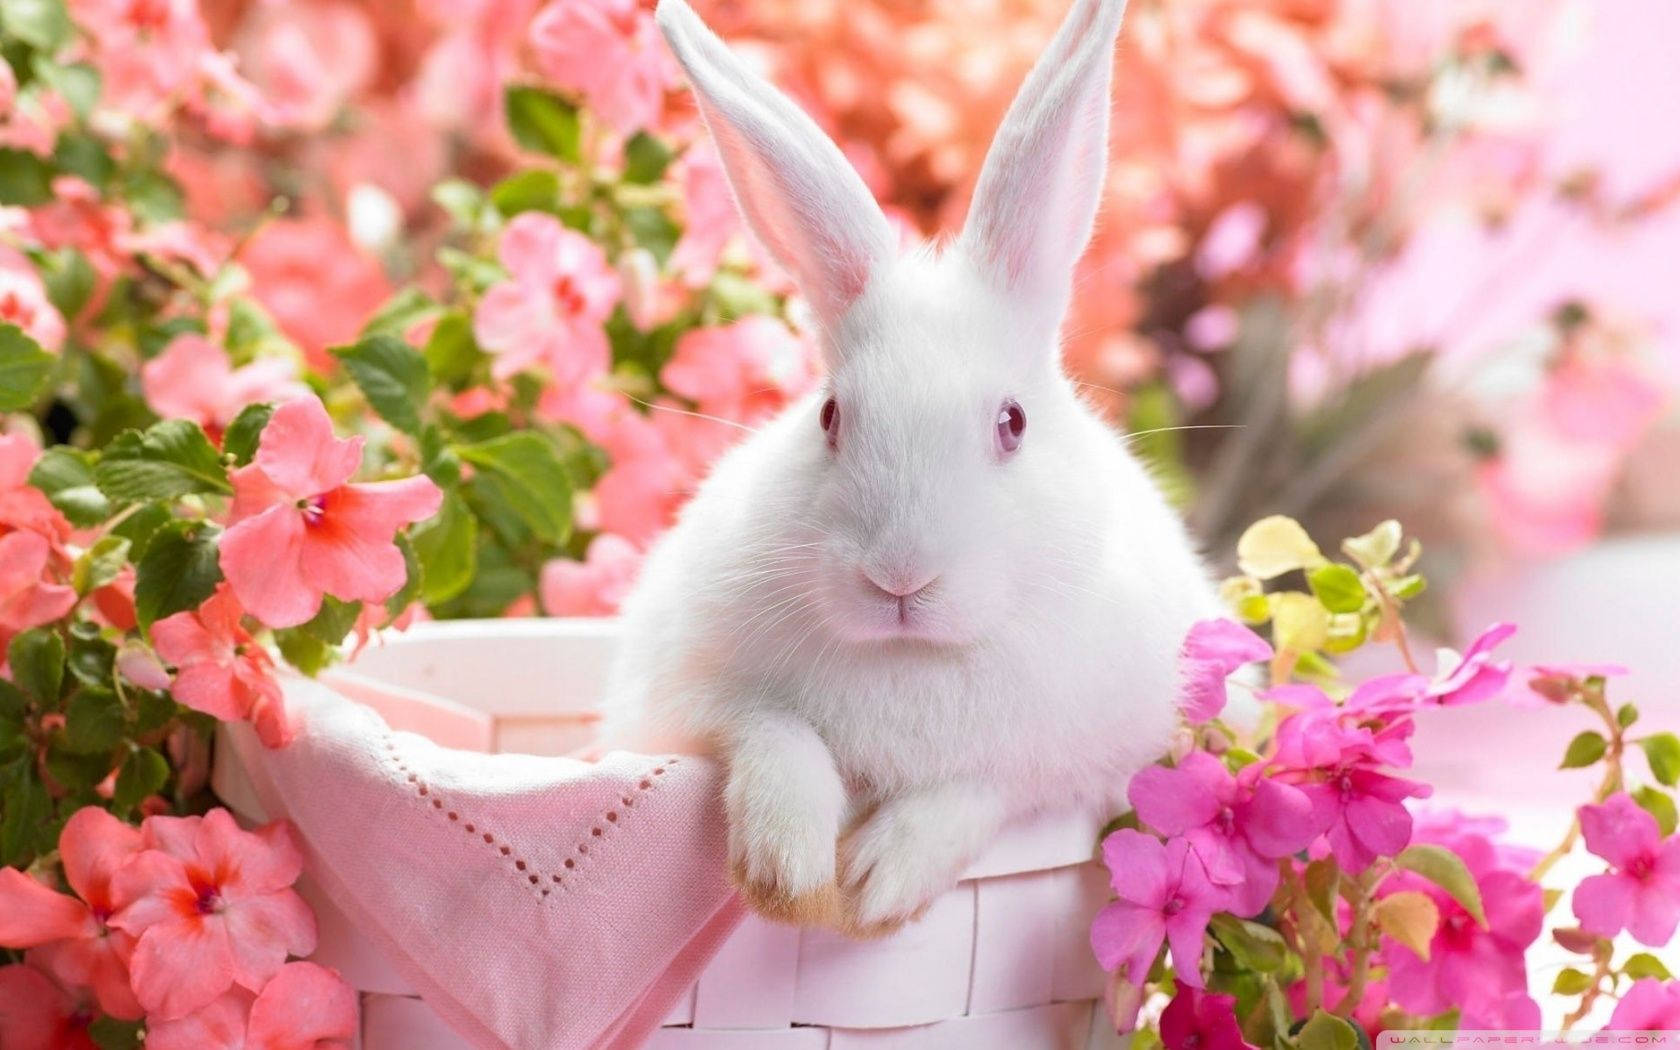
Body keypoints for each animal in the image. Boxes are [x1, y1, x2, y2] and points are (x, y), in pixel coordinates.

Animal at [599, 0, 1225, 934]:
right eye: (830, 417)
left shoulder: (1088, 756)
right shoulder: (683, 700)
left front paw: (877, 881)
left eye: (1012, 423)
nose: (899, 577)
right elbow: (772, 732)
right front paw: (788, 871)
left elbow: (981, 787)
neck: (911, 657)